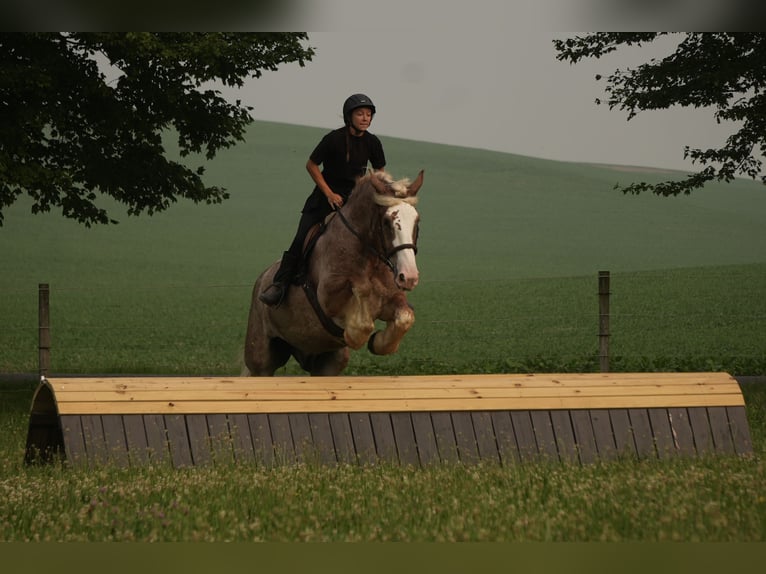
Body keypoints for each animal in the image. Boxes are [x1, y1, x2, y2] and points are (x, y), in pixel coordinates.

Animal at [243, 169, 424, 376]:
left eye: (417, 221)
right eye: (386, 222)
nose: (408, 277)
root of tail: (262, 278)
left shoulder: (393, 298)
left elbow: (405, 318)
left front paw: (377, 342)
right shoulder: (327, 299)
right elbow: (361, 302)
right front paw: (356, 334)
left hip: (327, 362)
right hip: (261, 357)